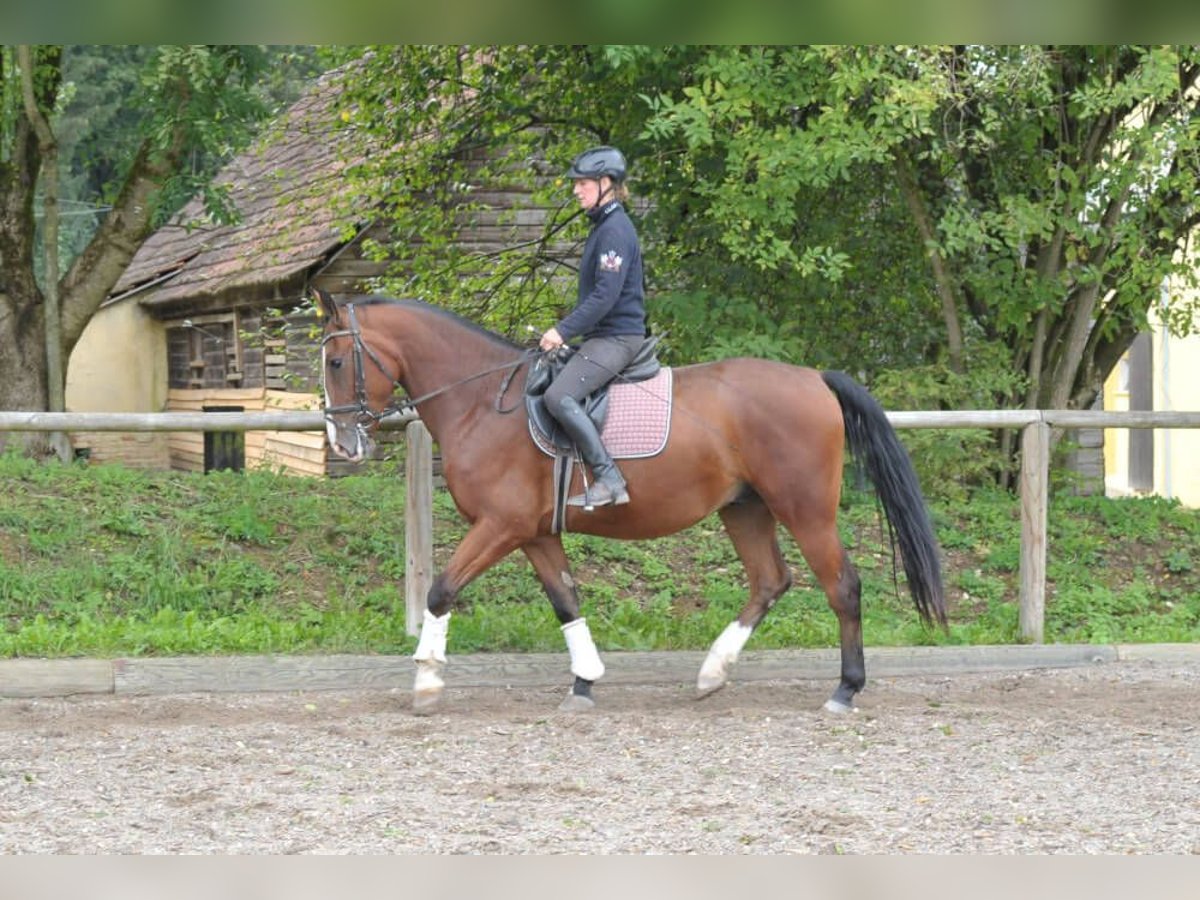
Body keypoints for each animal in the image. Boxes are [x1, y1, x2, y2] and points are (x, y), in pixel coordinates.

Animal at [316, 292, 945, 715]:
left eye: (337, 362)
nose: (343, 444)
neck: (480, 400)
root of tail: (814, 378)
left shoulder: (501, 526)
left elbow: (441, 589)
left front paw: (426, 681)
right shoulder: (534, 533)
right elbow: (566, 601)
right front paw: (585, 681)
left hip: (805, 509)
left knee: (843, 586)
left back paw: (845, 688)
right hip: (744, 508)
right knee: (770, 581)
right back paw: (712, 673)